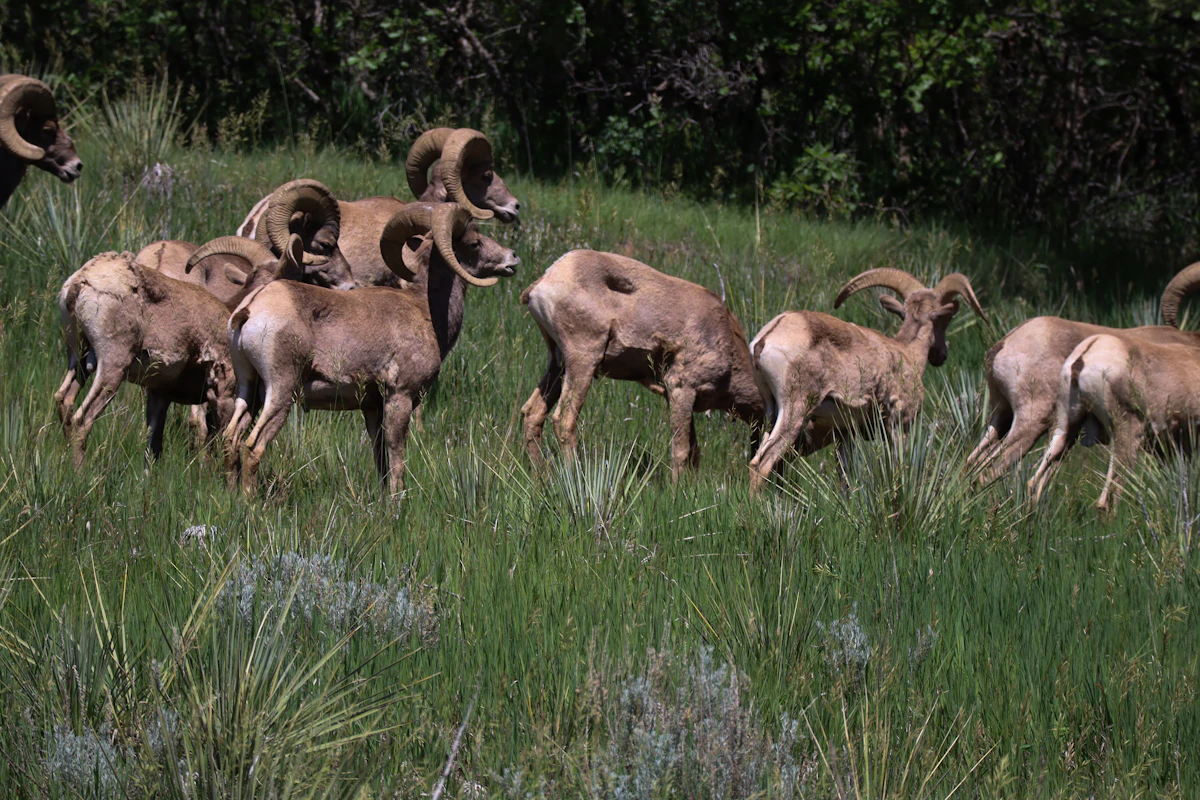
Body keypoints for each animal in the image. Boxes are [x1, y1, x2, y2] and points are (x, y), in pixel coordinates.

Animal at [54, 235, 309, 466]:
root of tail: (81, 281)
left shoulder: (159, 395)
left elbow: (153, 448)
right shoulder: (223, 395)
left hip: (78, 360)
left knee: (64, 399)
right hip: (112, 368)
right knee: (81, 420)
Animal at [221, 202, 519, 498]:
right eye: (474, 243)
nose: (512, 258)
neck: (425, 309)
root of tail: (250, 308)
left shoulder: (372, 407)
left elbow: (381, 460)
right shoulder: (400, 397)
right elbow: (397, 459)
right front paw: (396, 505)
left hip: (250, 390)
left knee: (231, 438)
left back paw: (233, 496)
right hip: (281, 392)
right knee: (253, 445)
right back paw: (249, 501)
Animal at [518, 250, 764, 479]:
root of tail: (544, 281)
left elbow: (694, 450)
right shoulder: (681, 388)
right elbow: (681, 450)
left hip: (558, 364)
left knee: (533, 414)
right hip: (582, 362)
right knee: (564, 420)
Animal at [748, 268, 985, 489]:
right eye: (947, 317)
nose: (941, 355)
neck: (907, 352)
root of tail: (764, 340)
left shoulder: (845, 432)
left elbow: (846, 479)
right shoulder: (899, 425)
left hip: (771, 411)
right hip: (796, 409)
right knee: (762, 463)